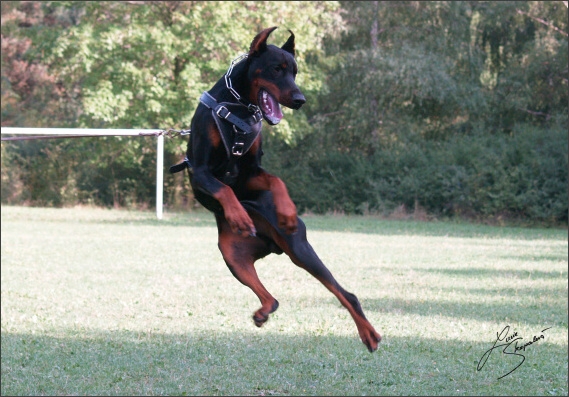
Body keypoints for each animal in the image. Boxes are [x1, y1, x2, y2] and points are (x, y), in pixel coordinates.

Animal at [169, 26, 382, 352]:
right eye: (276, 69)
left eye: (295, 71)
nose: (300, 99)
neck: (238, 108)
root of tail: (271, 242)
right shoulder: (202, 170)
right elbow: (224, 190)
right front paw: (239, 216)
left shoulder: (250, 171)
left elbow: (275, 180)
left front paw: (287, 211)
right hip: (232, 253)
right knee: (274, 299)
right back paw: (262, 309)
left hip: (299, 248)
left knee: (347, 295)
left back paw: (369, 334)